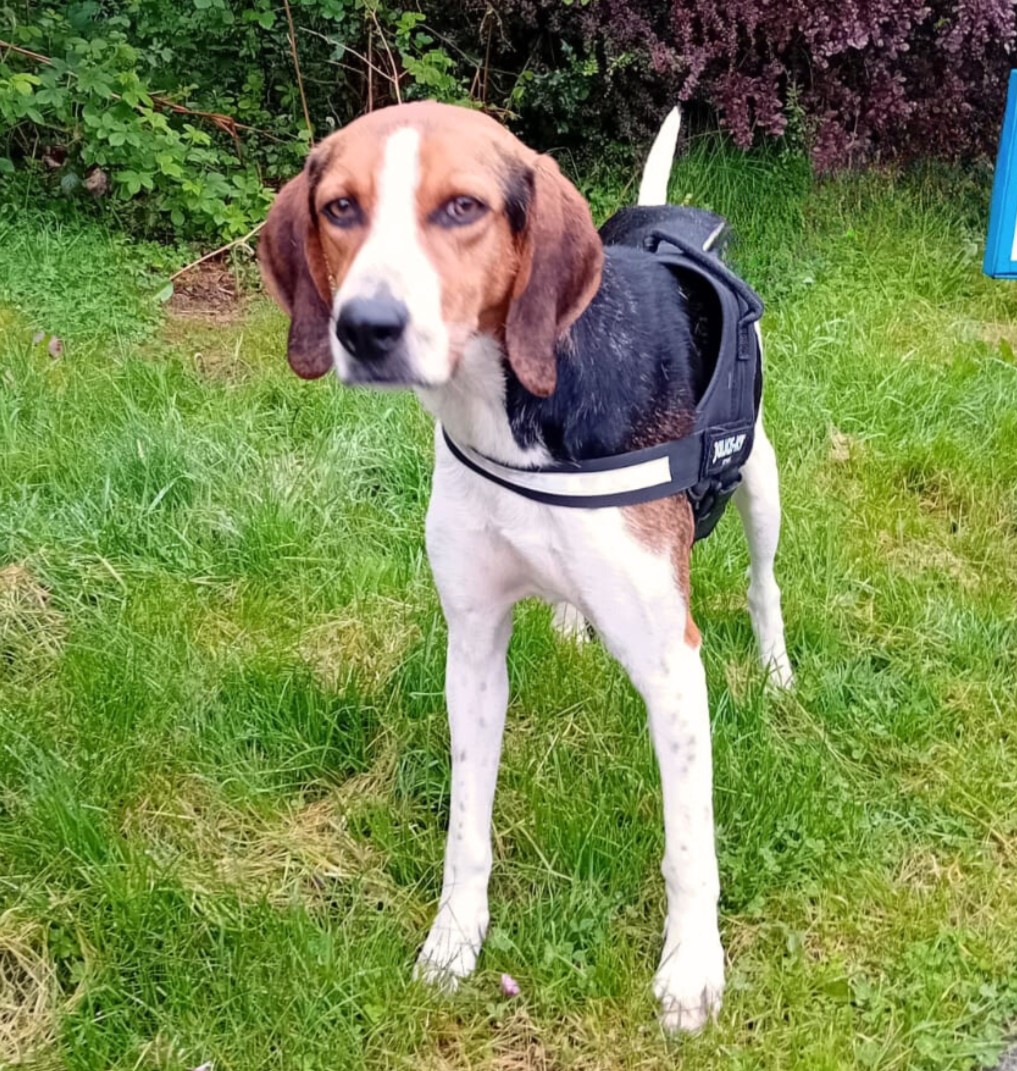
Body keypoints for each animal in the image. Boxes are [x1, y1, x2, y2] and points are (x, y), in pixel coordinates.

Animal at [256, 104, 796, 1032]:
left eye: (462, 207)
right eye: (339, 208)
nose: (365, 327)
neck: (507, 407)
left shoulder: (671, 662)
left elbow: (688, 846)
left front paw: (692, 969)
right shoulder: (471, 648)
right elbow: (465, 829)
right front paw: (452, 942)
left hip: (758, 478)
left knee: (764, 584)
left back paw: (775, 670)